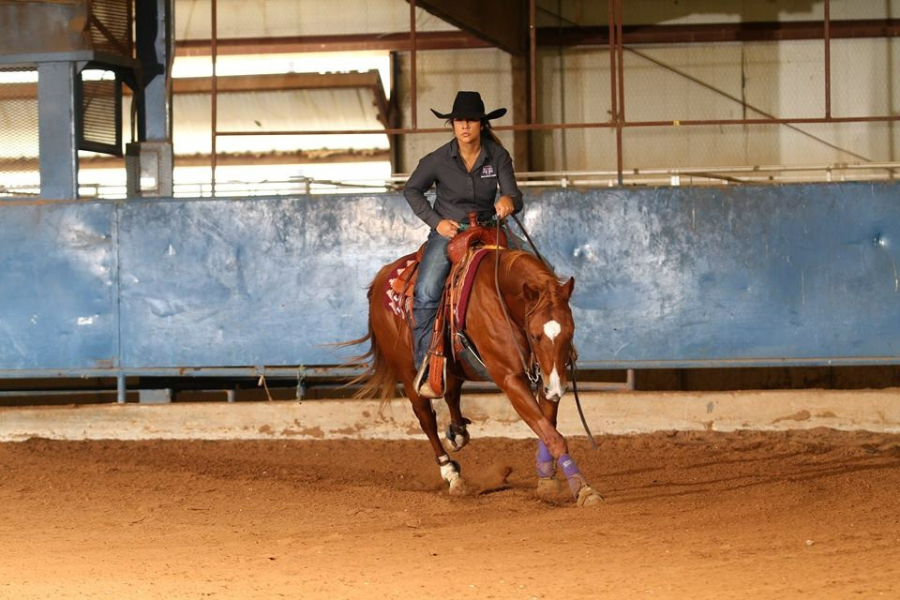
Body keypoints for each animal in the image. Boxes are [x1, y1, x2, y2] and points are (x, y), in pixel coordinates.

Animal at [348, 245, 600, 506]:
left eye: (571, 331)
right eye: (535, 335)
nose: (557, 389)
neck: (501, 297)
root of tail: (381, 277)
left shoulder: (547, 377)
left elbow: (548, 425)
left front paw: (546, 477)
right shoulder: (510, 379)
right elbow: (553, 435)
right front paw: (583, 489)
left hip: (453, 368)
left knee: (451, 395)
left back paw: (458, 434)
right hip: (408, 375)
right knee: (426, 418)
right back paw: (452, 475)